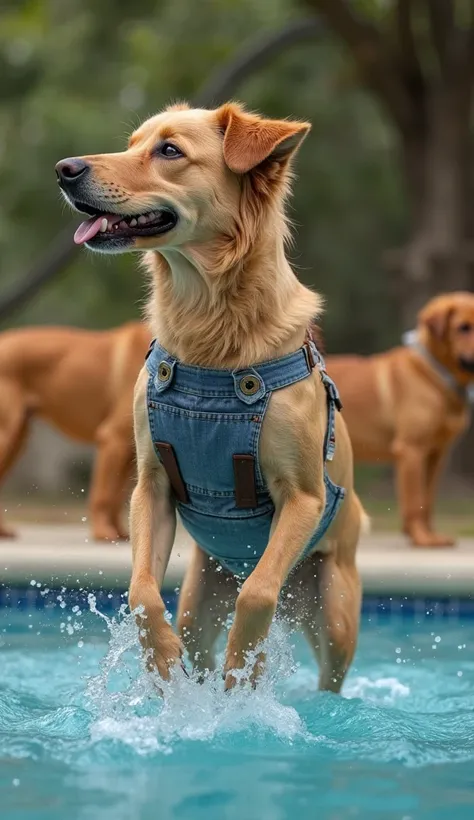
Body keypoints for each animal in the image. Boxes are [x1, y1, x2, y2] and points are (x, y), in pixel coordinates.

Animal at [0, 324, 150, 540]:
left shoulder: (130, 451)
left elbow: (117, 496)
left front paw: (121, 533)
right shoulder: (112, 438)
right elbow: (103, 495)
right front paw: (103, 533)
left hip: (16, 441)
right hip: (6, 435)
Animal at [57, 102, 364, 692]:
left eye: (169, 150)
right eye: (132, 144)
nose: (65, 168)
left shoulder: (304, 497)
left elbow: (260, 593)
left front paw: (240, 673)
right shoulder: (150, 484)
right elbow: (141, 593)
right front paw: (162, 662)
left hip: (335, 608)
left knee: (323, 668)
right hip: (202, 595)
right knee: (198, 631)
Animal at [326, 292, 474, 548]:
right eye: (463, 328)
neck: (434, 375)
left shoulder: (436, 455)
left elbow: (427, 500)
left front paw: (428, 535)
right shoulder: (411, 450)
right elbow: (415, 501)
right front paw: (422, 538)